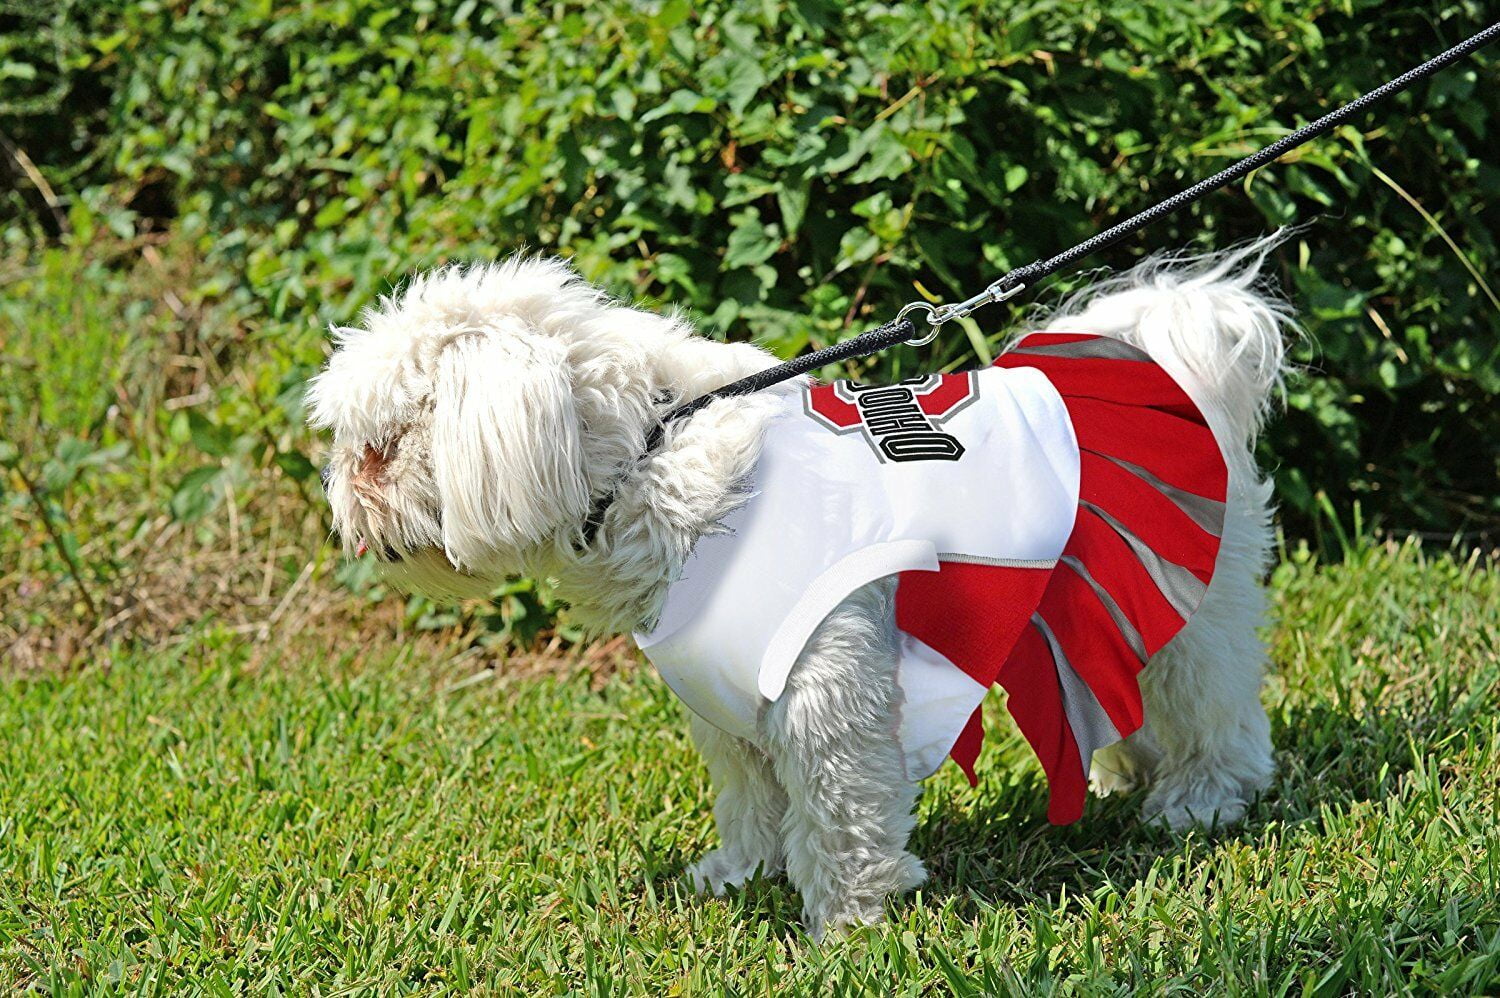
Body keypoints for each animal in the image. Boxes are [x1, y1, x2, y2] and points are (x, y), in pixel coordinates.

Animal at [307, 240, 1290, 936]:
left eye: (381, 448)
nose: (344, 505)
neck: (656, 454)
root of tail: (1164, 357)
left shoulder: (827, 687)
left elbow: (839, 809)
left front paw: (847, 922)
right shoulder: (728, 692)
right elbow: (752, 797)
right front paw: (741, 874)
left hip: (1184, 594)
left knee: (1215, 705)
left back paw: (1201, 799)